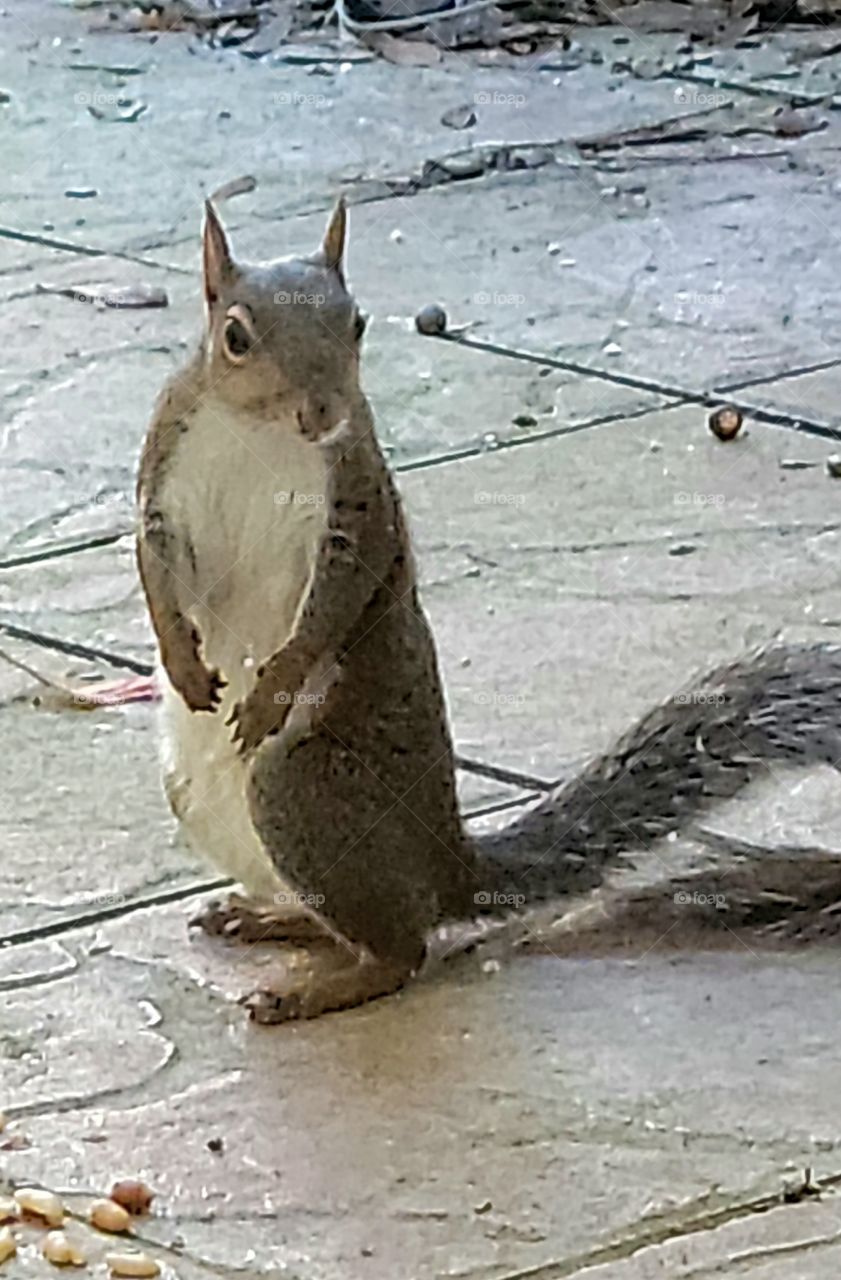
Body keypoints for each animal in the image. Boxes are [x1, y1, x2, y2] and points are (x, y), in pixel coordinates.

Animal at [136, 198, 841, 1022]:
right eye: (236, 337)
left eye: (357, 323)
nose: (320, 412)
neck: (258, 430)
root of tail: (452, 869)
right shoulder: (164, 478)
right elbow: (155, 571)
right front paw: (182, 660)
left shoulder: (356, 504)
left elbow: (334, 603)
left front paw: (271, 690)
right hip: (209, 801)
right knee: (359, 924)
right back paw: (270, 916)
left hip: (300, 786)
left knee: (400, 950)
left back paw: (319, 985)